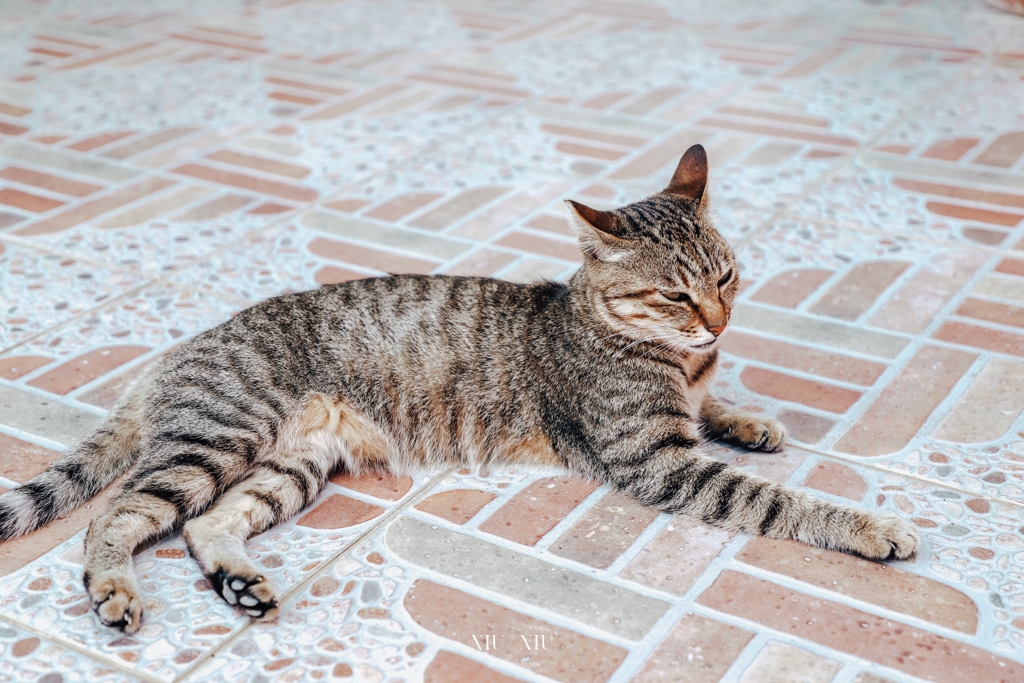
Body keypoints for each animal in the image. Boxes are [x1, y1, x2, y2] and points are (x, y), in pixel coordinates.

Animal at [0, 145, 921, 634]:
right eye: (674, 294)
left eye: (727, 276)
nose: (720, 322)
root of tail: (171, 352)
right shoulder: (657, 460)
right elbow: (779, 502)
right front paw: (870, 526)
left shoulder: (686, 412)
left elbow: (719, 410)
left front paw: (750, 416)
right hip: (218, 438)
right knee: (116, 518)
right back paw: (115, 590)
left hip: (290, 466)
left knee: (207, 527)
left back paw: (238, 580)